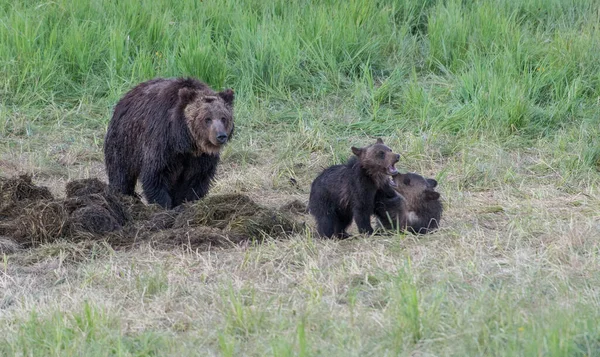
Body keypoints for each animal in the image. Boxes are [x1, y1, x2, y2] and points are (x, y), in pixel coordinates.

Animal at [103, 76, 234, 207]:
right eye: (207, 119)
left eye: (224, 118)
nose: (221, 136)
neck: (185, 143)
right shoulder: (162, 143)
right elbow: (156, 175)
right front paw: (164, 204)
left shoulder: (201, 157)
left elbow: (197, 179)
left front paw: (186, 202)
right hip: (125, 142)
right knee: (121, 173)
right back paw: (122, 195)